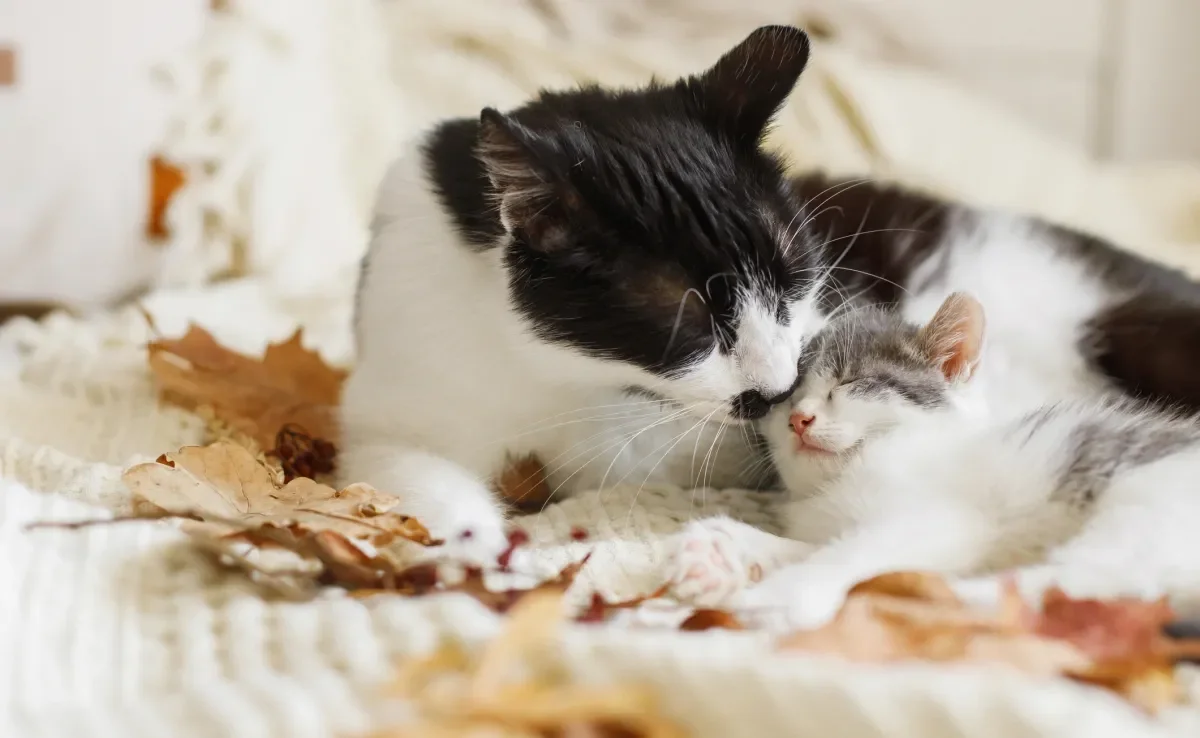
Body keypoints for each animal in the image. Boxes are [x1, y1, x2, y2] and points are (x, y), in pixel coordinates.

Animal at [336, 24, 1200, 566]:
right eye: (689, 314)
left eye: (793, 279)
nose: (781, 389)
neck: (568, 376)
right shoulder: (397, 388)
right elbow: (407, 472)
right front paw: (480, 548)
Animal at [667, 291, 1200, 628]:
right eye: (788, 396)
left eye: (850, 382)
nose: (800, 419)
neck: (840, 482)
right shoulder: (837, 522)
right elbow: (821, 545)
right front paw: (724, 551)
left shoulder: (939, 520)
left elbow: (849, 556)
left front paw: (778, 594)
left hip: (1137, 508)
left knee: (1085, 586)